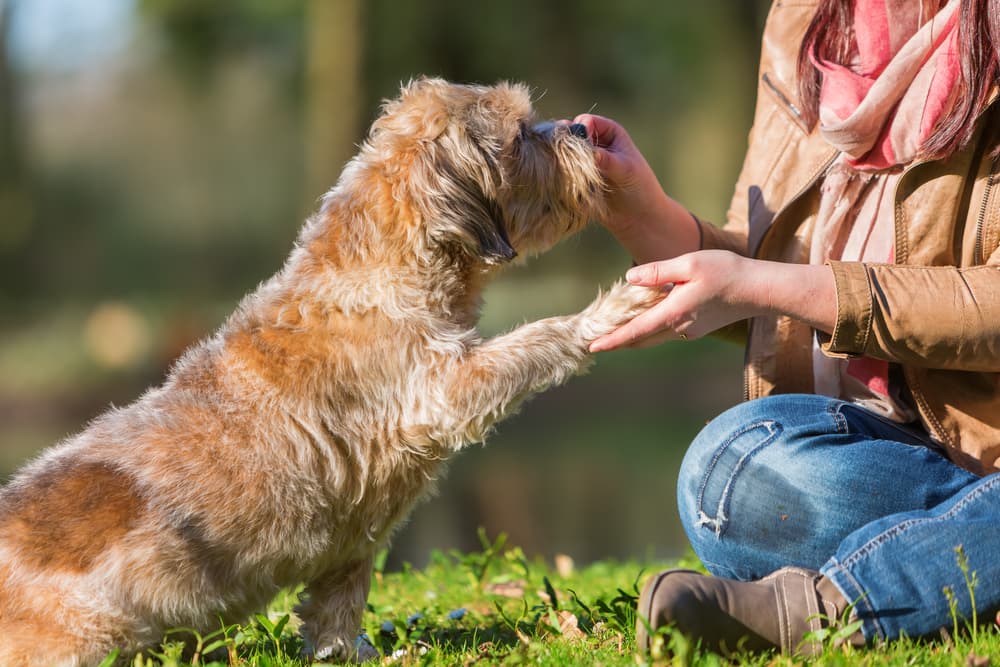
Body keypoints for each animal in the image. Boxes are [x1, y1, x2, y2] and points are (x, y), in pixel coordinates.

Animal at [0, 78, 656, 664]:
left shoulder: (353, 543)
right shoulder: (444, 389)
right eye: (520, 133)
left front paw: (348, 652)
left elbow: (338, 606)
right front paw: (610, 310)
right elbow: (537, 338)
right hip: (97, 633)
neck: (387, 265)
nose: (581, 129)